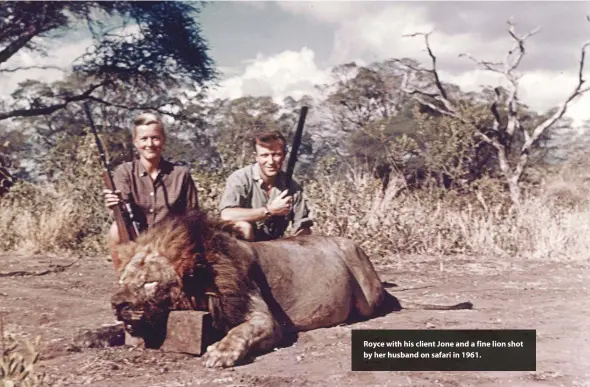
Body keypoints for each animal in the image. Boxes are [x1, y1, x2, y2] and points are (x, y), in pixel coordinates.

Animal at [110, 211, 472, 368]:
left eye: (150, 282)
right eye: (123, 280)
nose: (116, 303)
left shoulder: (266, 320)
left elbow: (239, 333)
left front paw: (219, 353)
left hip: (364, 278)